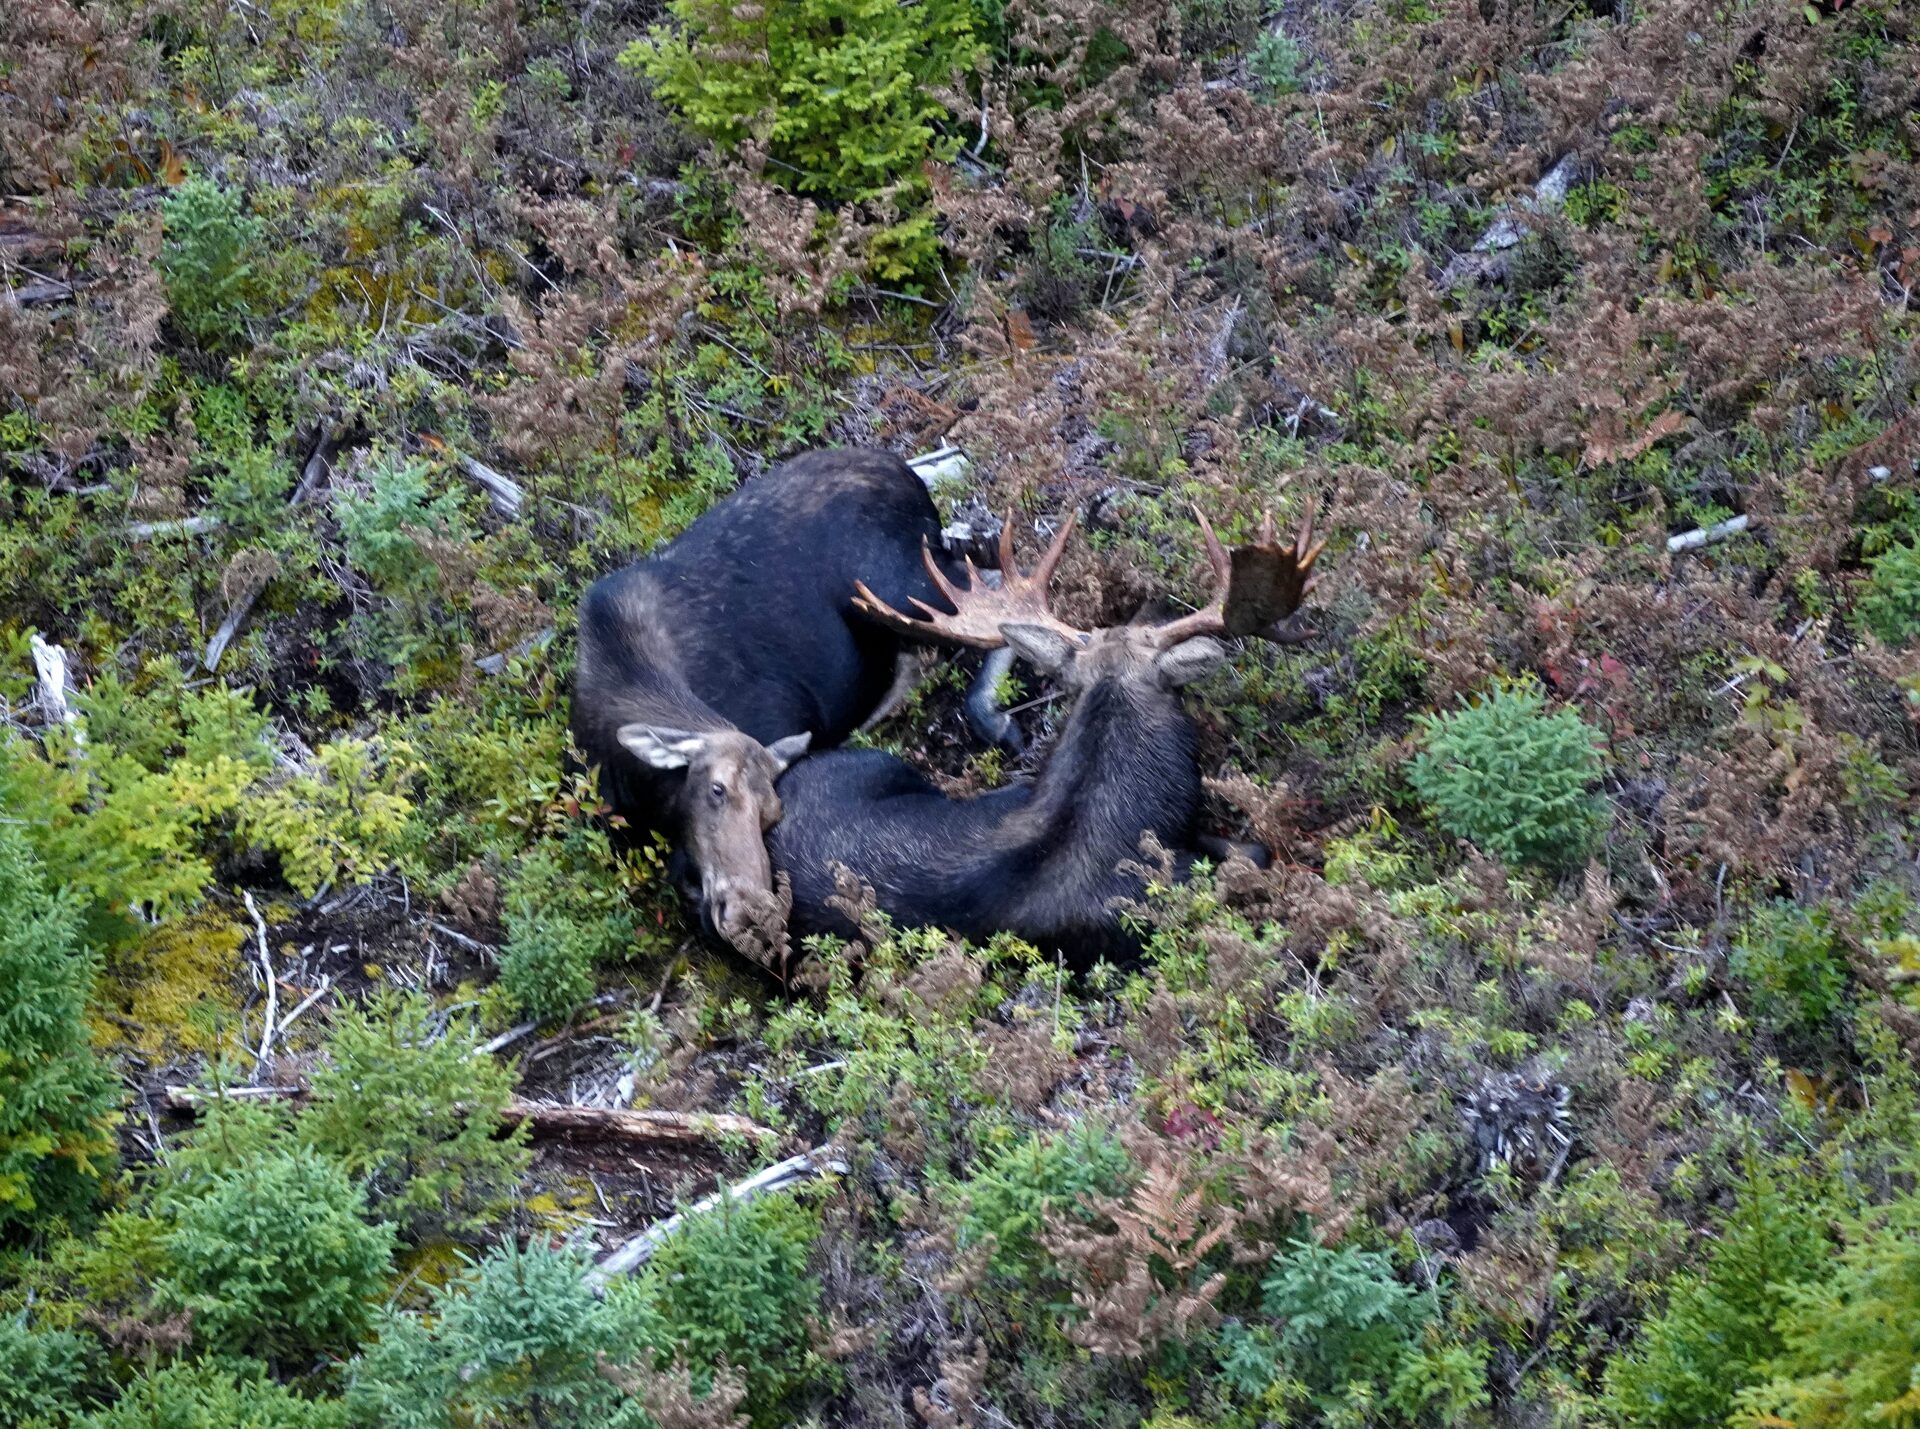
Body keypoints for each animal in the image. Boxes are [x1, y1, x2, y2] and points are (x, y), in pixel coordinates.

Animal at [568, 445, 1021, 960]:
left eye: (772, 810)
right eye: (716, 790)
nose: (752, 911)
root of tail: (910, 477)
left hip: (897, 583)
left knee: (992, 591)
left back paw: (991, 713)